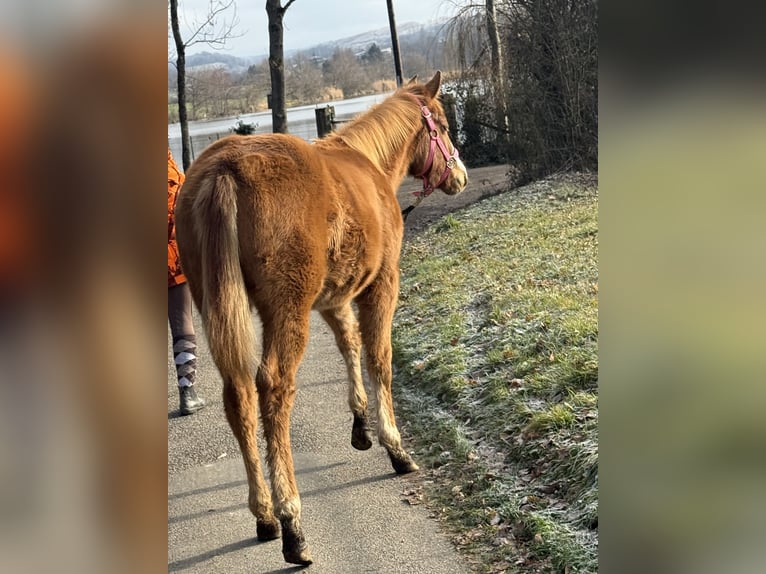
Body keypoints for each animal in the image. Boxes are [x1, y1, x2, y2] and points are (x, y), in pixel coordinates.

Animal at [174, 71, 468, 565]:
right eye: (443, 126)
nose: (460, 176)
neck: (369, 167)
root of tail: (224, 170)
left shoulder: (334, 299)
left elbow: (350, 345)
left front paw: (361, 425)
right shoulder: (381, 284)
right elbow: (379, 358)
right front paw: (394, 446)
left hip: (217, 309)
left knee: (239, 397)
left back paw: (265, 515)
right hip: (287, 312)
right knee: (273, 389)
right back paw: (291, 521)